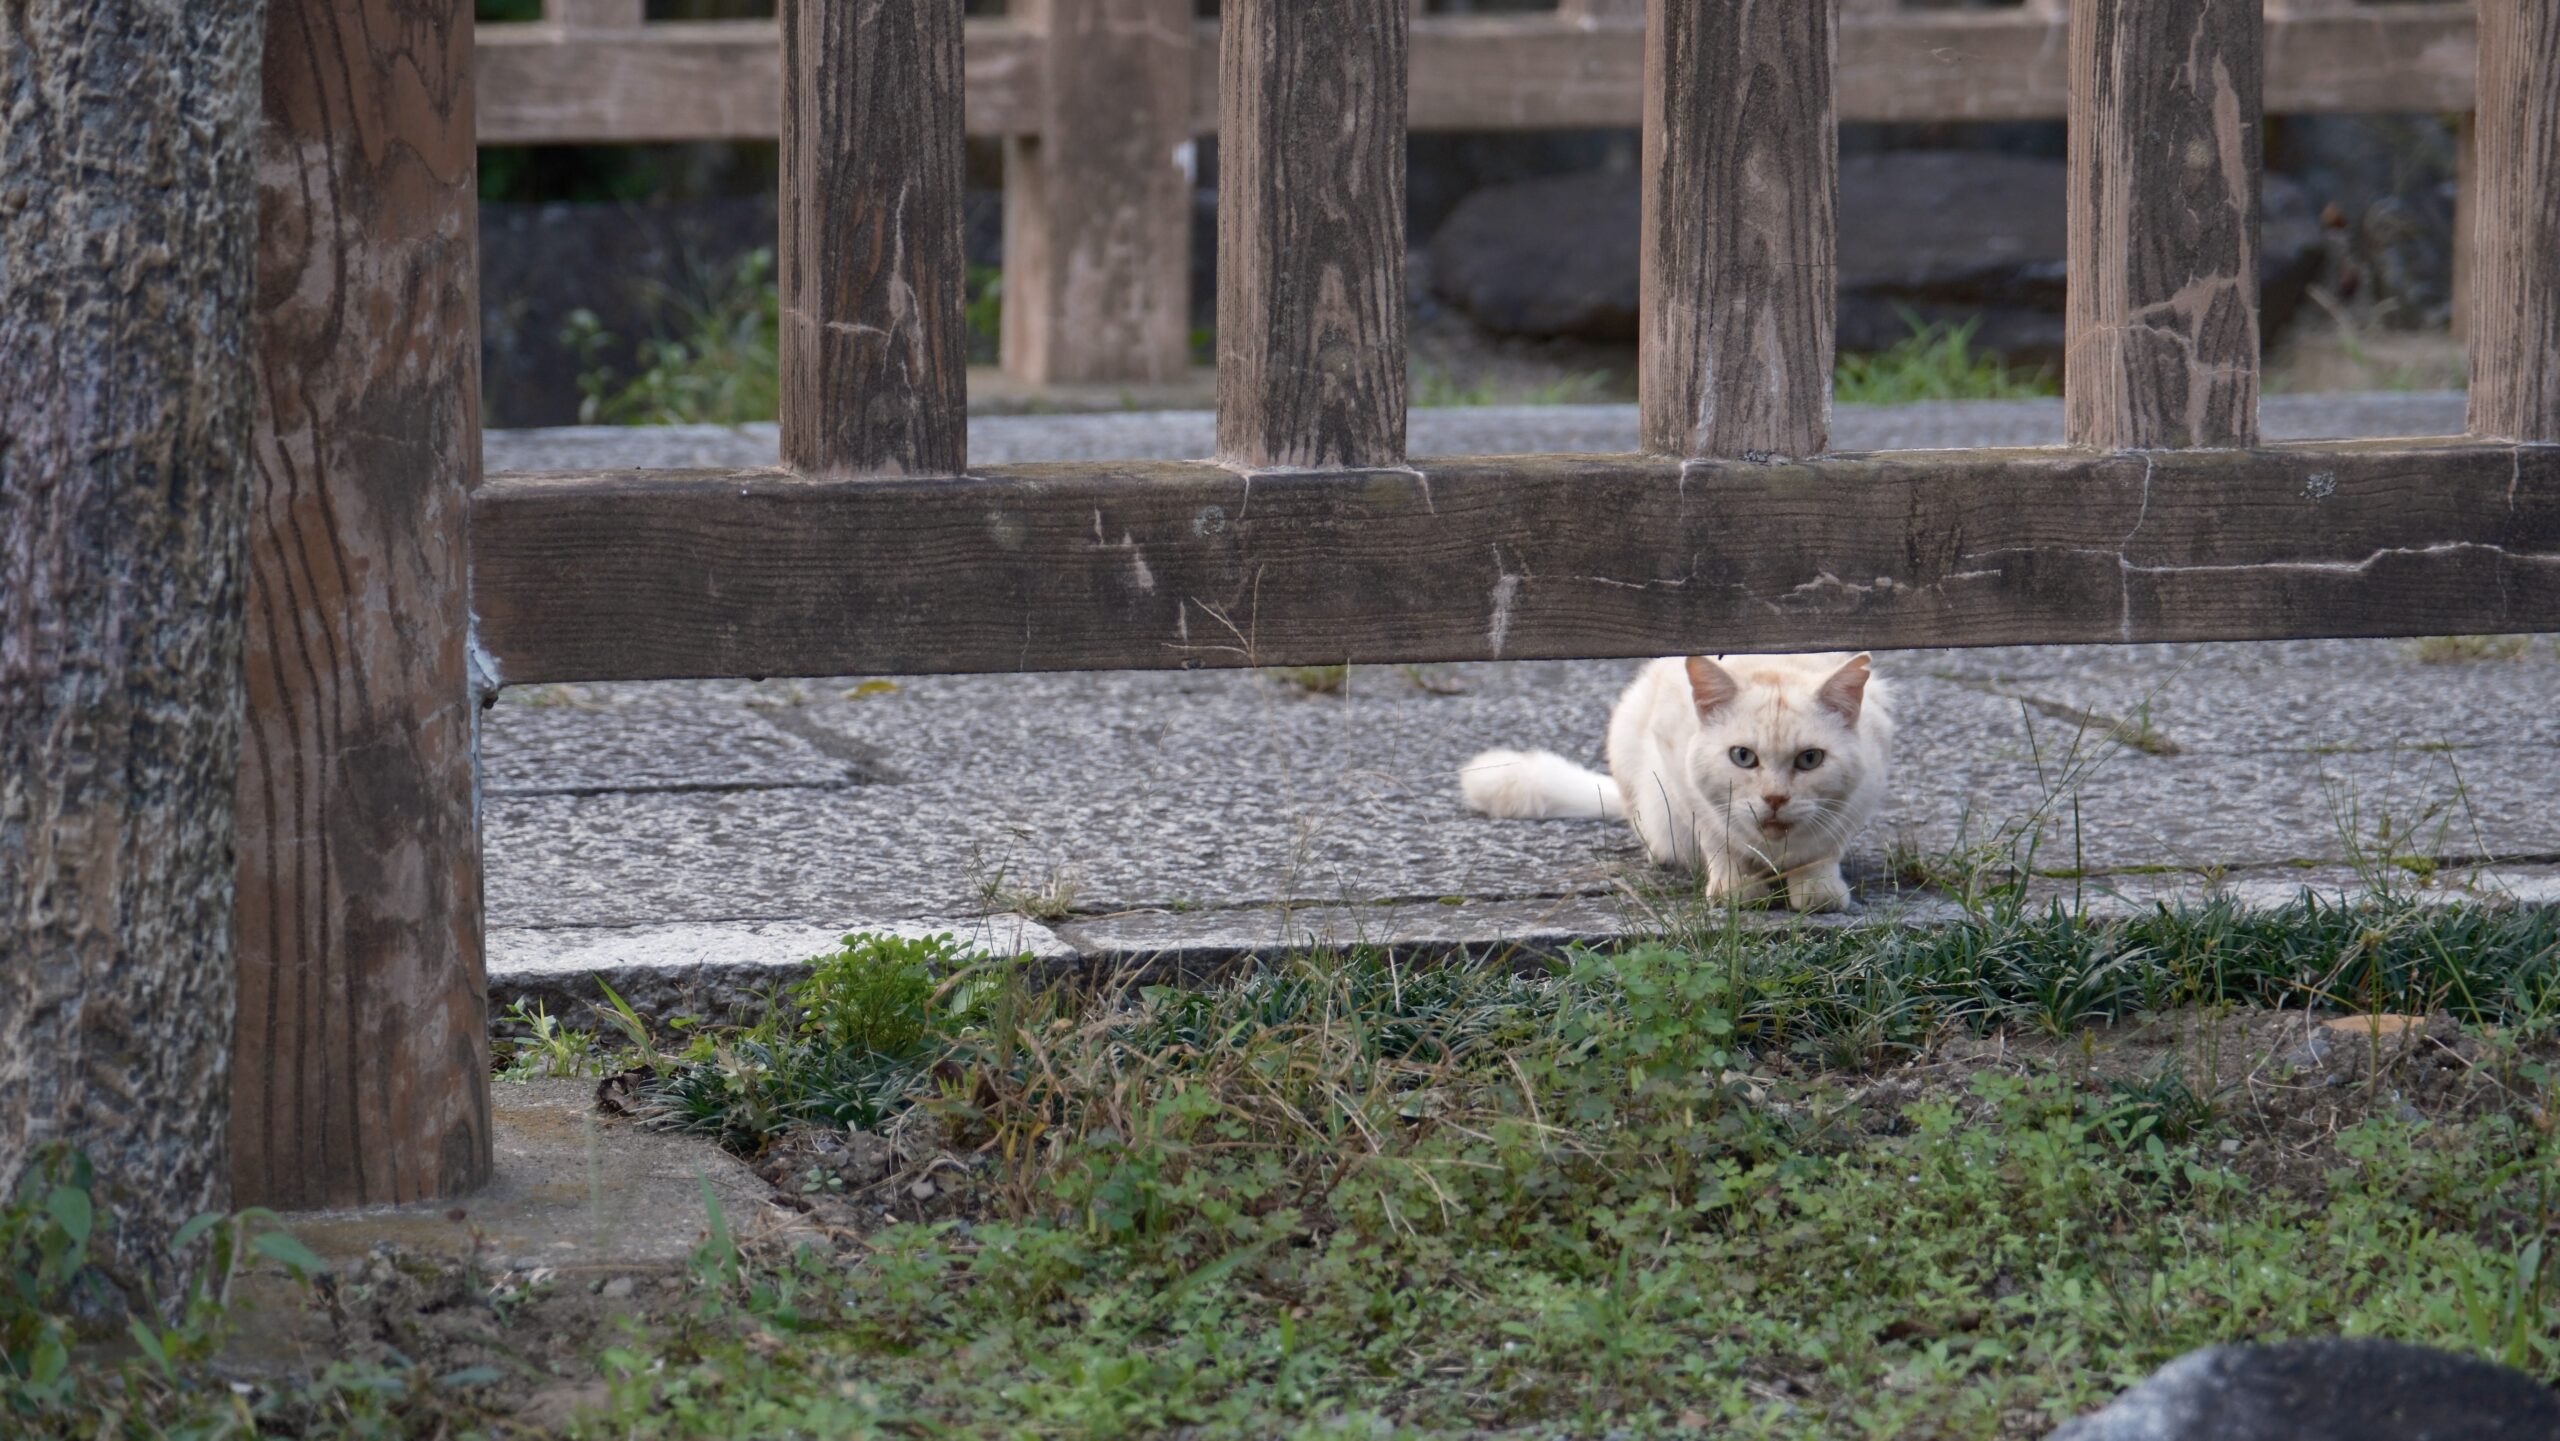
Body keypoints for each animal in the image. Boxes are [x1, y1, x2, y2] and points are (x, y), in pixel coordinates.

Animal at [1464, 655, 1884, 911]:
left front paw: (1818, 890)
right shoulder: (1683, 783)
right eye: (1742, 756)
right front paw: (1737, 891)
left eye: (1810, 759)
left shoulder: (1862, 794)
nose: (1776, 798)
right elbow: (1722, 842)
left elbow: (1823, 850)